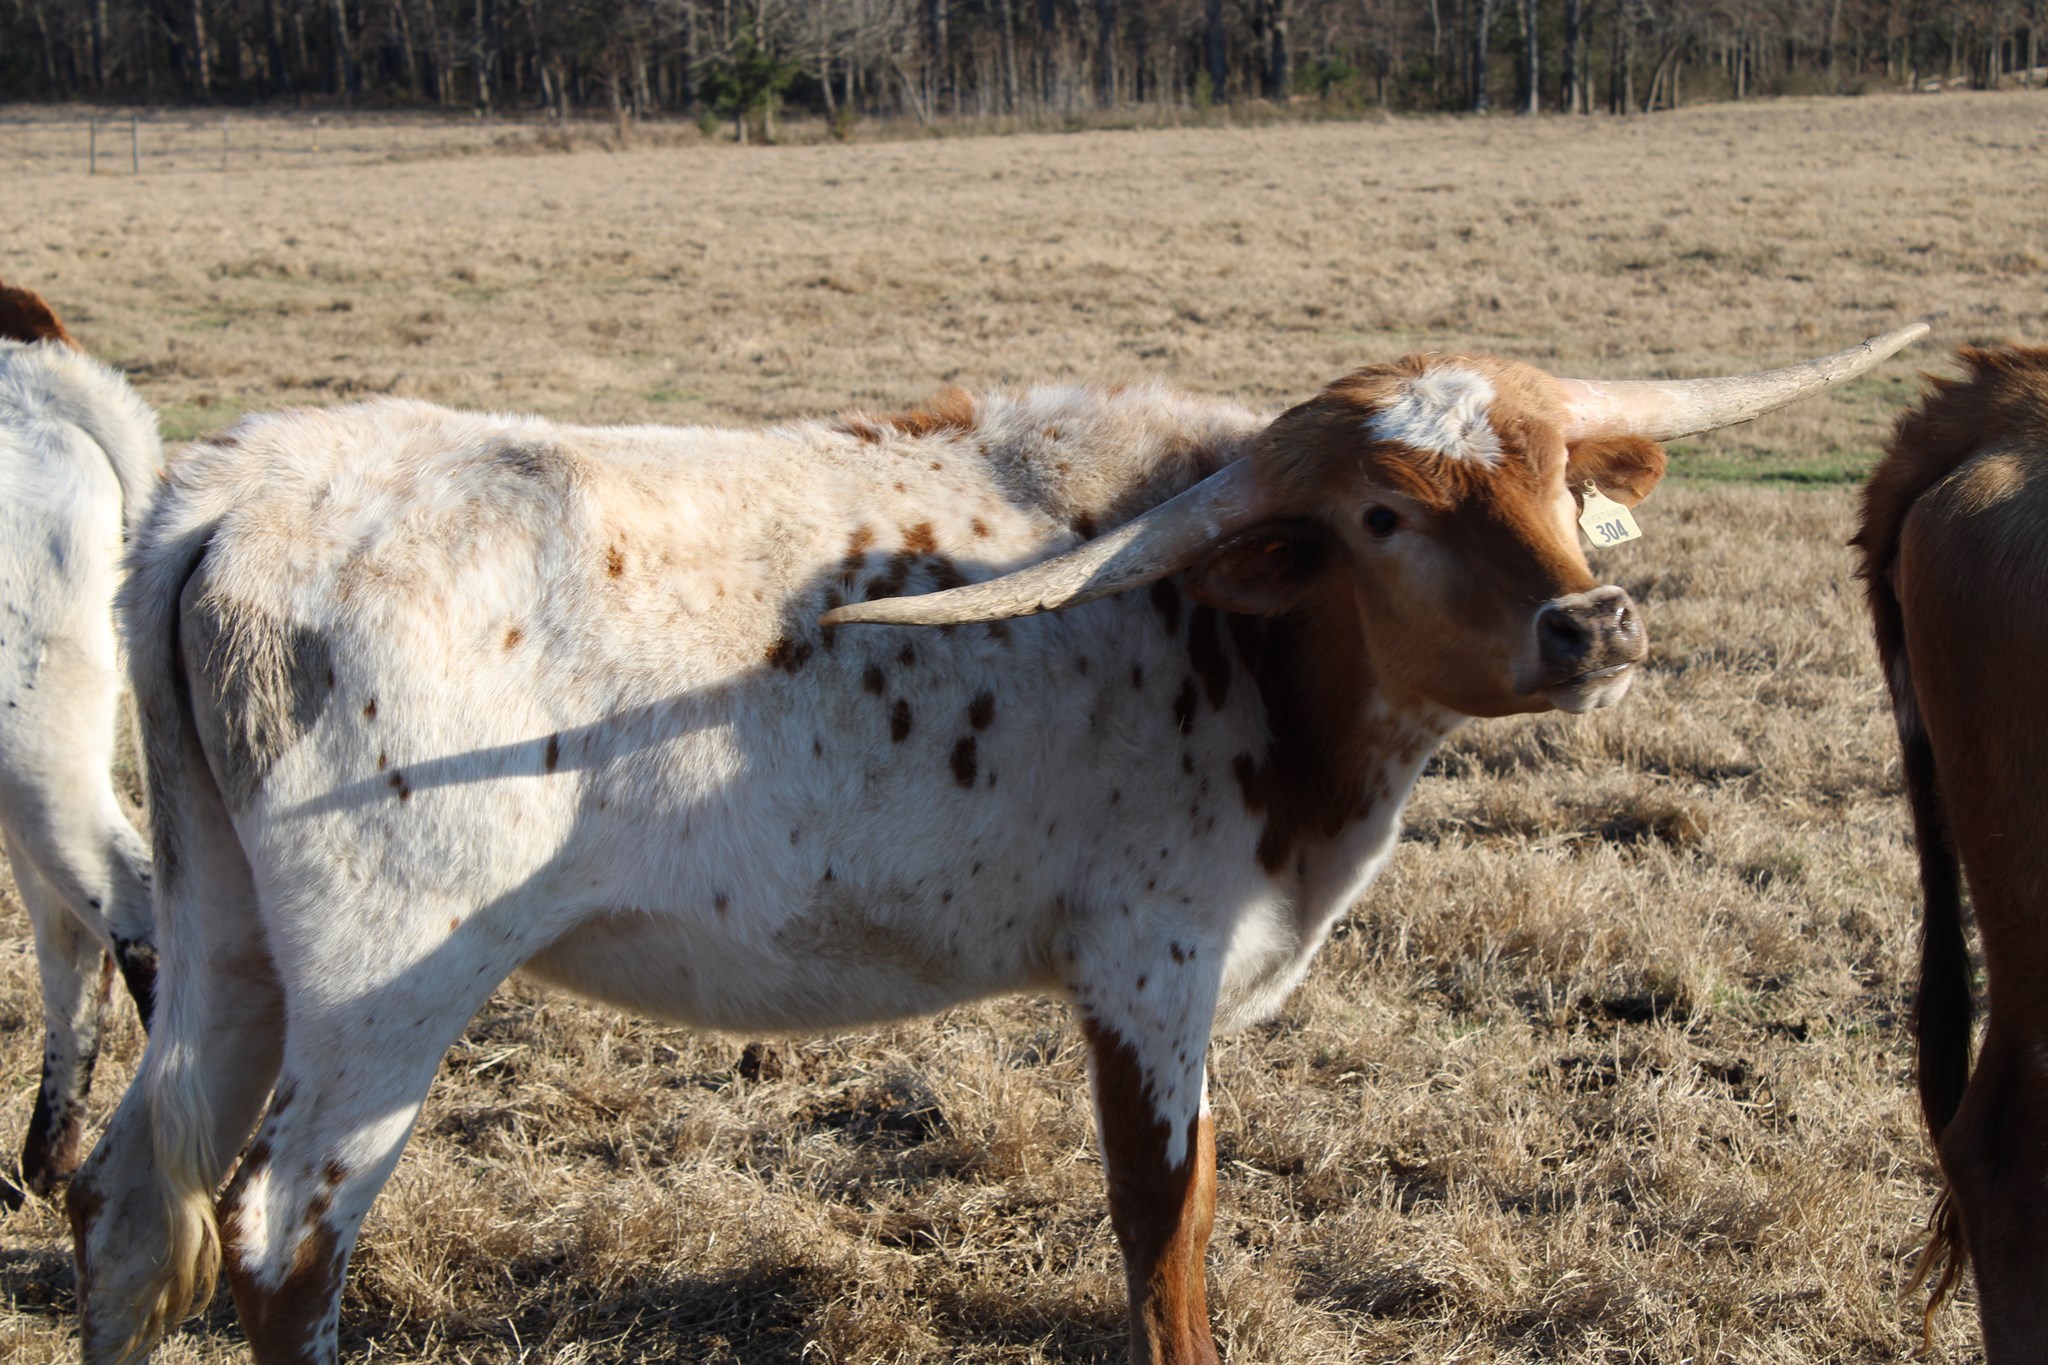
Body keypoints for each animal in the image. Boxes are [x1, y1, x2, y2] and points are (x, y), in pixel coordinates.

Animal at [71, 325, 1923, 1365]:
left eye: (1547, 472)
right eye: (1382, 513)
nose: (1591, 621)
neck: (1239, 639)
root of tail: (237, 490)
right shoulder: (1150, 973)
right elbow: (1164, 1233)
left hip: (228, 942)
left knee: (121, 1197)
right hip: (386, 985)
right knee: (279, 1241)